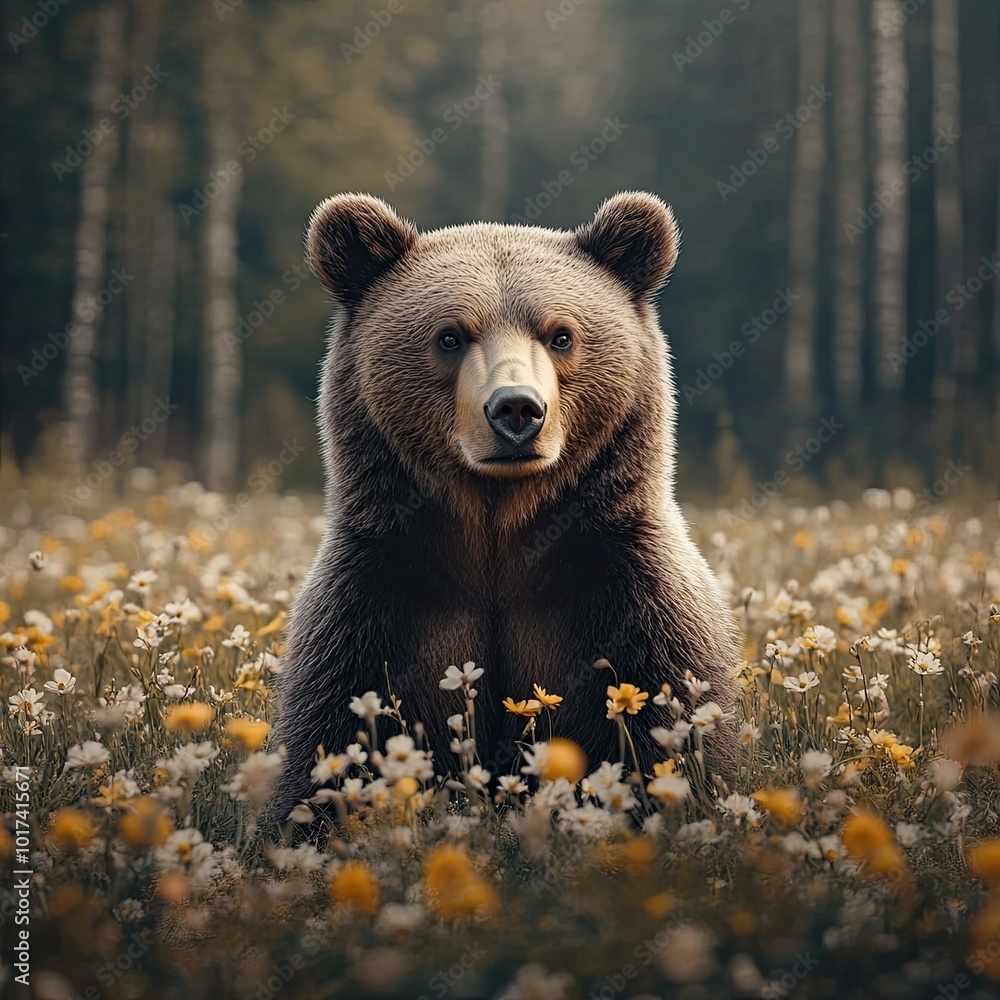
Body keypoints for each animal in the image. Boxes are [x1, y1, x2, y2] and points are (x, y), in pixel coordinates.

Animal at [269, 191, 741, 821]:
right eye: (450, 336)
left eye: (561, 335)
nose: (516, 409)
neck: (498, 529)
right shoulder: (379, 594)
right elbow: (329, 734)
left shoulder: (628, 589)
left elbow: (673, 725)